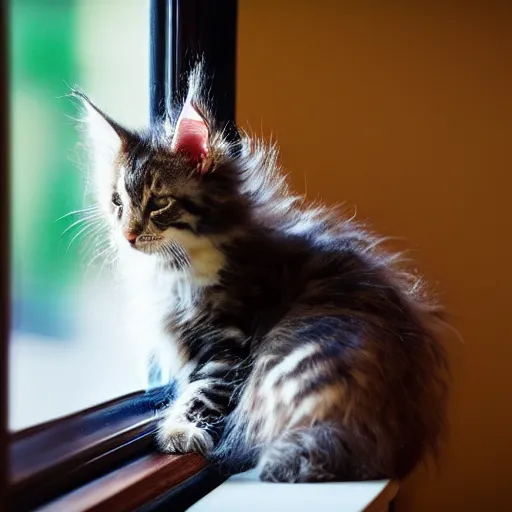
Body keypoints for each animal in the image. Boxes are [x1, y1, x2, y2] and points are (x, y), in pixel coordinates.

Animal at [74, 66, 450, 482]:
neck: (176, 266)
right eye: (117, 202)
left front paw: (180, 431)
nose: (127, 235)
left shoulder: (227, 343)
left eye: (158, 203)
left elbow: (203, 391)